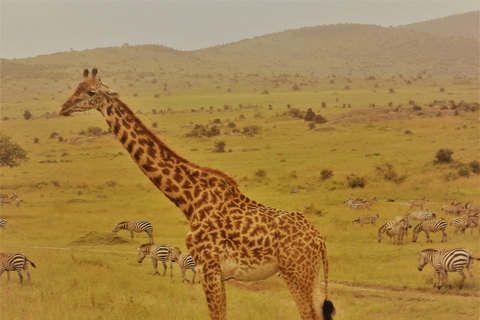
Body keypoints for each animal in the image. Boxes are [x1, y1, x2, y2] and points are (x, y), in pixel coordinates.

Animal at [59, 69, 334, 318]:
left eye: (91, 92)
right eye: (75, 87)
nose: (63, 108)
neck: (190, 200)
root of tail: (318, 238)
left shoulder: (207, 267)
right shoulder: (216, 272)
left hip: (296, 273)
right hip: (311, 276)